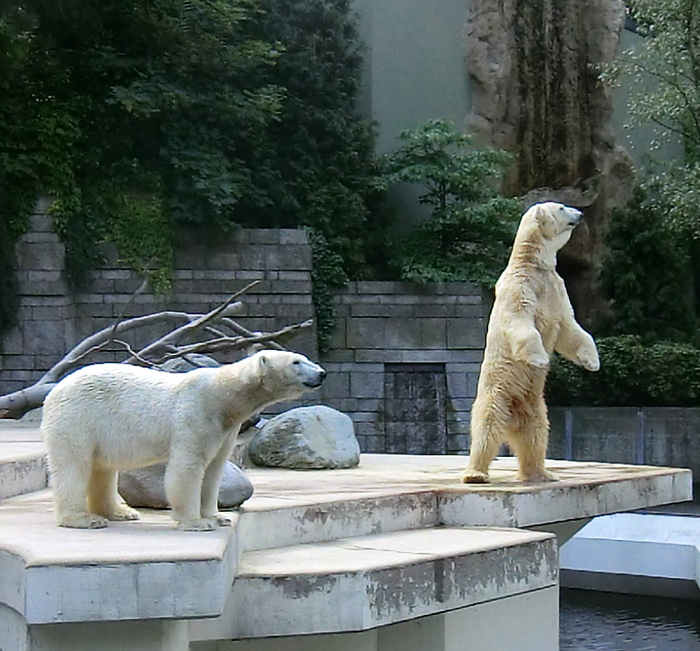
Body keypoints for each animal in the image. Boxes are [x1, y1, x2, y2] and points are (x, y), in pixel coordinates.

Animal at [42, 352, 326, 528]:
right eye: (296, 362)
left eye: (303, 358)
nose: (322, 373)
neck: (223, 397)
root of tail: (53, 392)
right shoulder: (196, 414)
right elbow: (187, 468)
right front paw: (196, 522)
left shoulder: (226, 429)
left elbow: (214, 471)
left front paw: (217, 517)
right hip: (78, 418)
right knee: (74, 465)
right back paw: (84, 519)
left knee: (102, 469)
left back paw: (121, 512)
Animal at [462, 202, 600, 484]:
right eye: (561, 207)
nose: (581, 214)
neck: (533, 262)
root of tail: (511, 421)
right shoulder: (520, 286)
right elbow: (521, 321)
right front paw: (539, 358)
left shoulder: (555, 288)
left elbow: (570, 329)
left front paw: (592, 362)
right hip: (498, 393)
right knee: (486, 428)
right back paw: (476, 474)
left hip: (535, 406)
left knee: (536, 435)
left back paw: (541, 472)